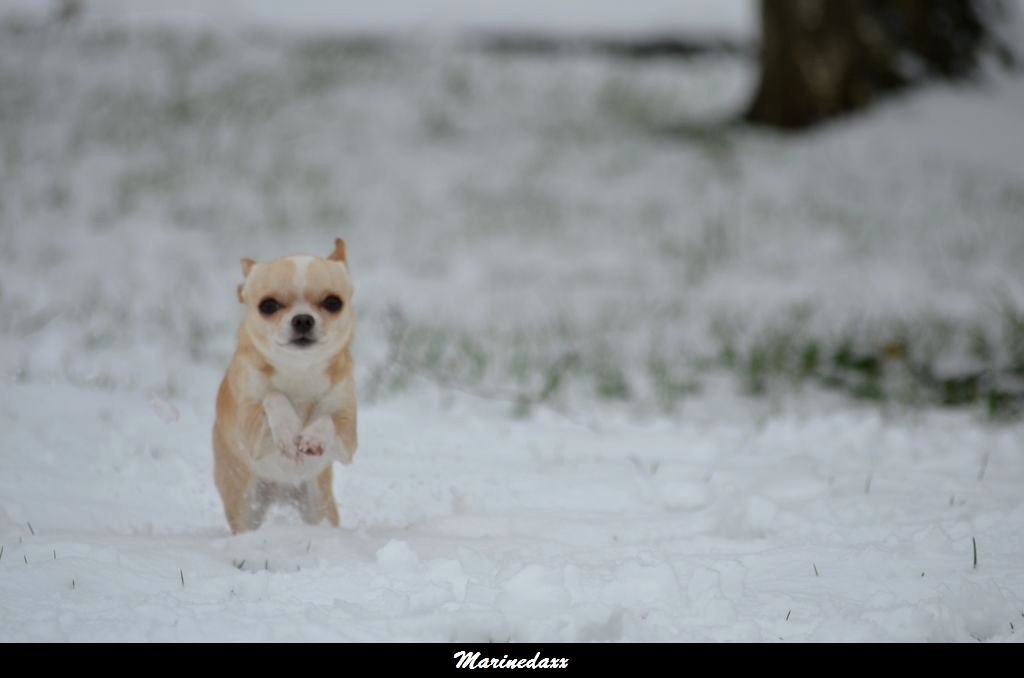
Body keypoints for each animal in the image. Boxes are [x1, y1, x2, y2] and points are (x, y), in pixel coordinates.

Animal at [209, 240, 358, 536]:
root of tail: (282, 493)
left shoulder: (348, 438)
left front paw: (314, 437)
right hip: (244, 502)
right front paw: (289, 431)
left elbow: (328, 419)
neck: (299, 370)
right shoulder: (249, 429)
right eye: (268, 306)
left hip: (318, 505)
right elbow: (274, 396)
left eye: (333, 302)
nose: (302, 319)